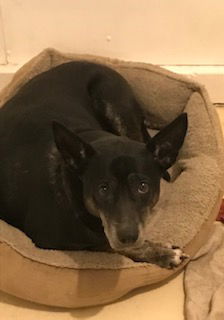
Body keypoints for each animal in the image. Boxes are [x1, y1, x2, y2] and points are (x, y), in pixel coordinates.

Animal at [0, 61, 189, 268]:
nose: (128, 236)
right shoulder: (49, 240)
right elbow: (109, 243)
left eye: (143, 187)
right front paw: (163, 253)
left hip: (116, 107)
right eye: (103, 188)